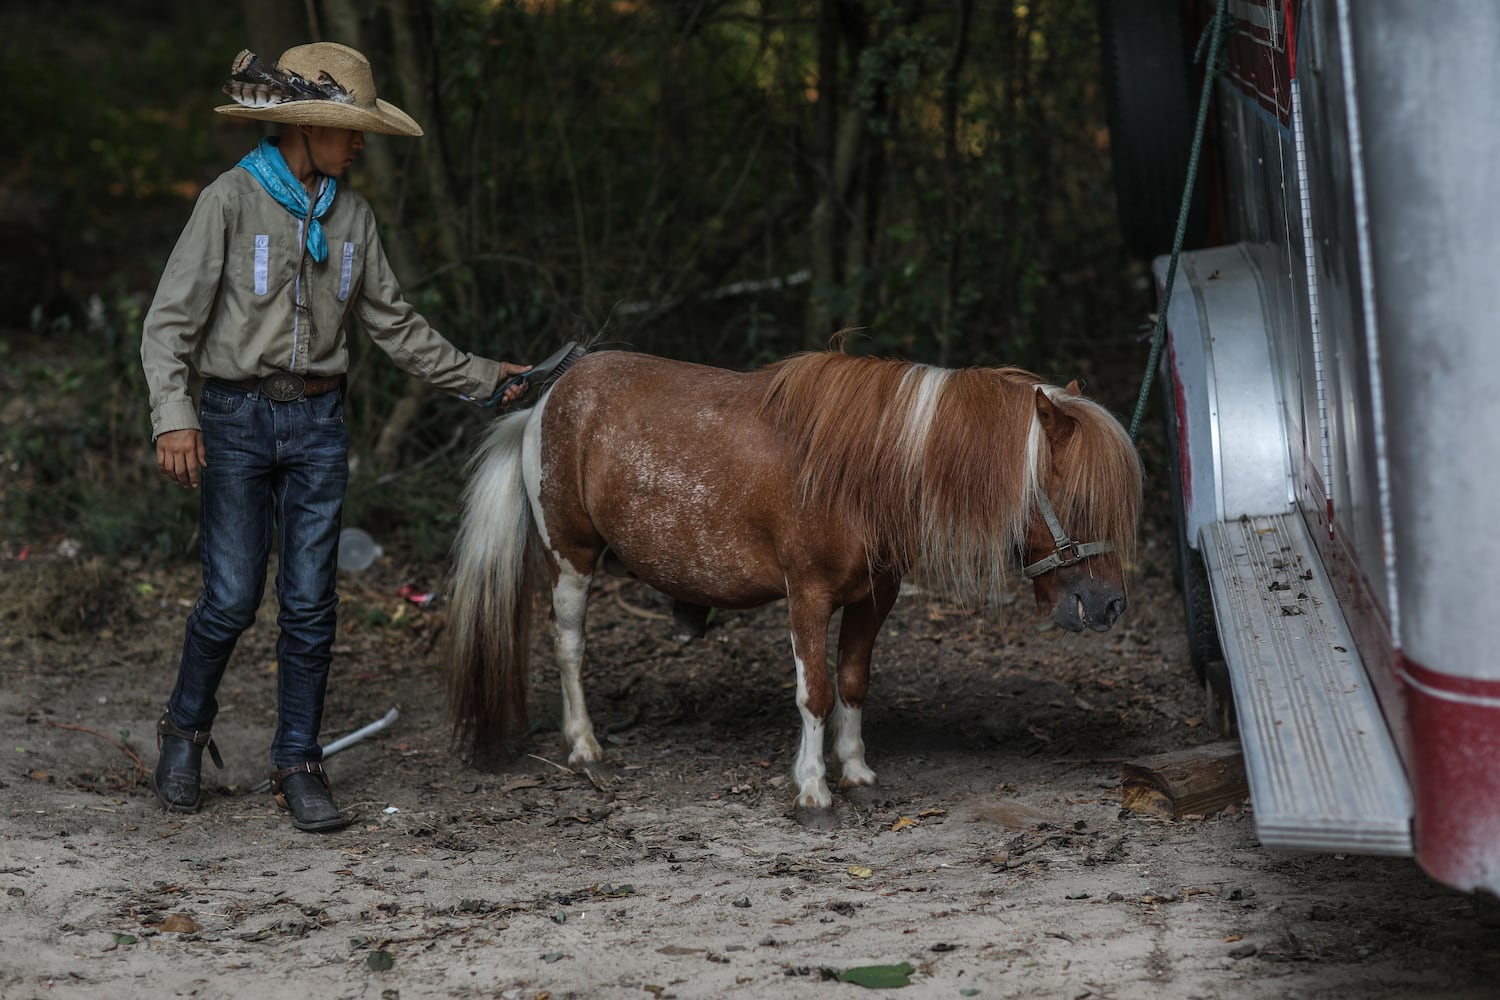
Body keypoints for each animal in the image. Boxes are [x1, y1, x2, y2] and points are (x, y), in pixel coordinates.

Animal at [438, 347, 1140, 827]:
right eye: (1078, 501)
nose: (1108, 607)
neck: (863, 468)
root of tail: (547, 398)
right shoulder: (807, 595)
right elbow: (816, 693)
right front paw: (812, 789)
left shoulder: (875, 598)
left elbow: (853, 682)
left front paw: (855, 771)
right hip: (572, 558)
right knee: (569, 648)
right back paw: (584, 746)